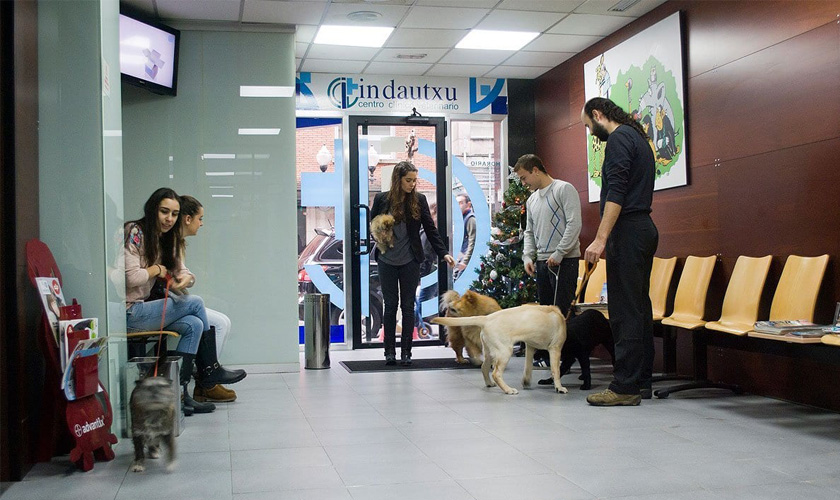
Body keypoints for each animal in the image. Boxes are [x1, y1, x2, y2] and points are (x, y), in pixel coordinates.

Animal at [434, 302, 564, 396]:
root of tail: (486, 319)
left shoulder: (530, 346)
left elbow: (528, 367)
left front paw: (526, 381)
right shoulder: (555, 348)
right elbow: (556, 370)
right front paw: (559, 388)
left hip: (490, 352)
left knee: (484, 367)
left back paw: (489, 383)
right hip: (505, 352)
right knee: (496, 373)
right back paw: (508, 390)